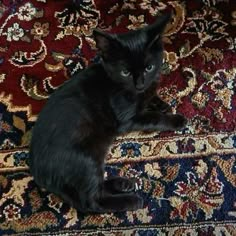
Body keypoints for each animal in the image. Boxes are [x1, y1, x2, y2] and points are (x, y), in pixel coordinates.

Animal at [28, 12, 187, 213]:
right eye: (125, 72)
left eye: (149, 67)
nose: (139, 84)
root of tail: (39, 174)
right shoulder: (127, 118)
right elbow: (154, 118)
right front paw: (175, 119)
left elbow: (151, 96)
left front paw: (160, 102)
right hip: (88, 160)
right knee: (90, 203)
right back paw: (131, 200)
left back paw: (122, 184)